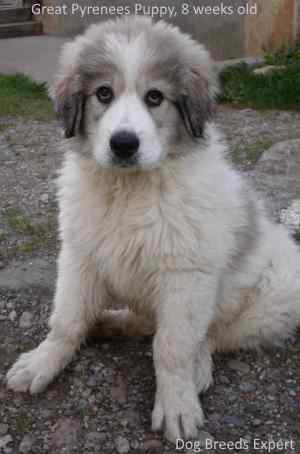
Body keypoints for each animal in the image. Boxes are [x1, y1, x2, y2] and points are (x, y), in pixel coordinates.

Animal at [6, 15, 300, 444]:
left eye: (155, 97)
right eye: (104, 93)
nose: (124, 144)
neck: (131, 190)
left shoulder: (185, 274)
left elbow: (172, 346)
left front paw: (176, 404)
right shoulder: (80, 255)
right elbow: (67, 318)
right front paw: (43, 361)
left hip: (272, 297)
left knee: (210, 335)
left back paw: (197, 369)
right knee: (145, 322)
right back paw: (108, 322)